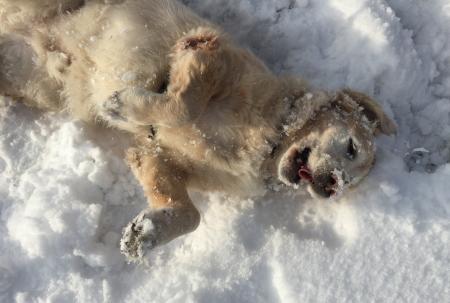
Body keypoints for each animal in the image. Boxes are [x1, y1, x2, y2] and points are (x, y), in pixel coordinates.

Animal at [0, 0, 396, 262]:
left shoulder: (157, 156)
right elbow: (182, 105)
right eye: (351, 147)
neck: (270, 138)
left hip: (33, 80)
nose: (333, 187)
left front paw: (146, 233)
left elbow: (190, 214)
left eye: (353, 182)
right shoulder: (206, 52)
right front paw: (122, 106)